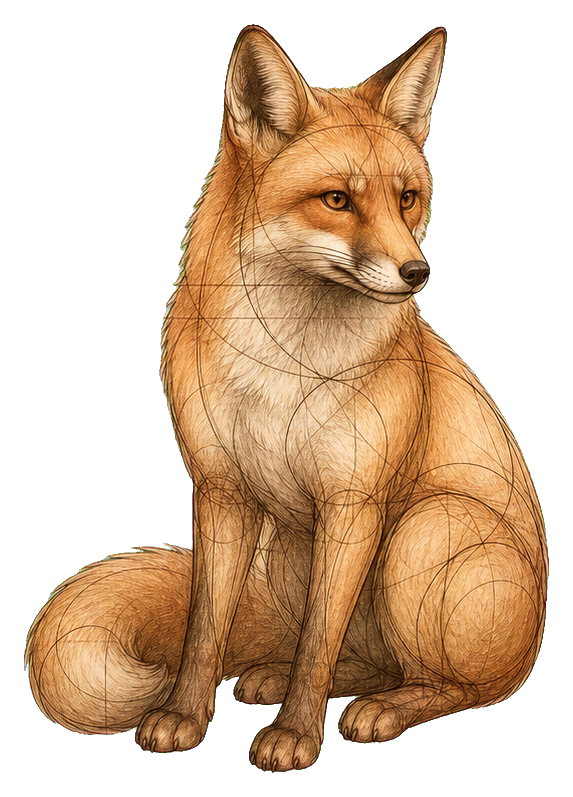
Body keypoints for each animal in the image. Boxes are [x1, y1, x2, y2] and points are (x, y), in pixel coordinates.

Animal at [26, 26, 547, 771]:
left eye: (407, 198)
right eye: (336, 200)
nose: (417, 272)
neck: (283, 366)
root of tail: (533, 640)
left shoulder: (352, 502)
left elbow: (315, 644)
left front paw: (296, 735)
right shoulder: (221, 490)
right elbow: (207, 629)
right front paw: (182, 717)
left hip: (426, 530)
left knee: (458, 687)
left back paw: (384, 709)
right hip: (291, 549)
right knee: (361, 661)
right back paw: (286, 679)